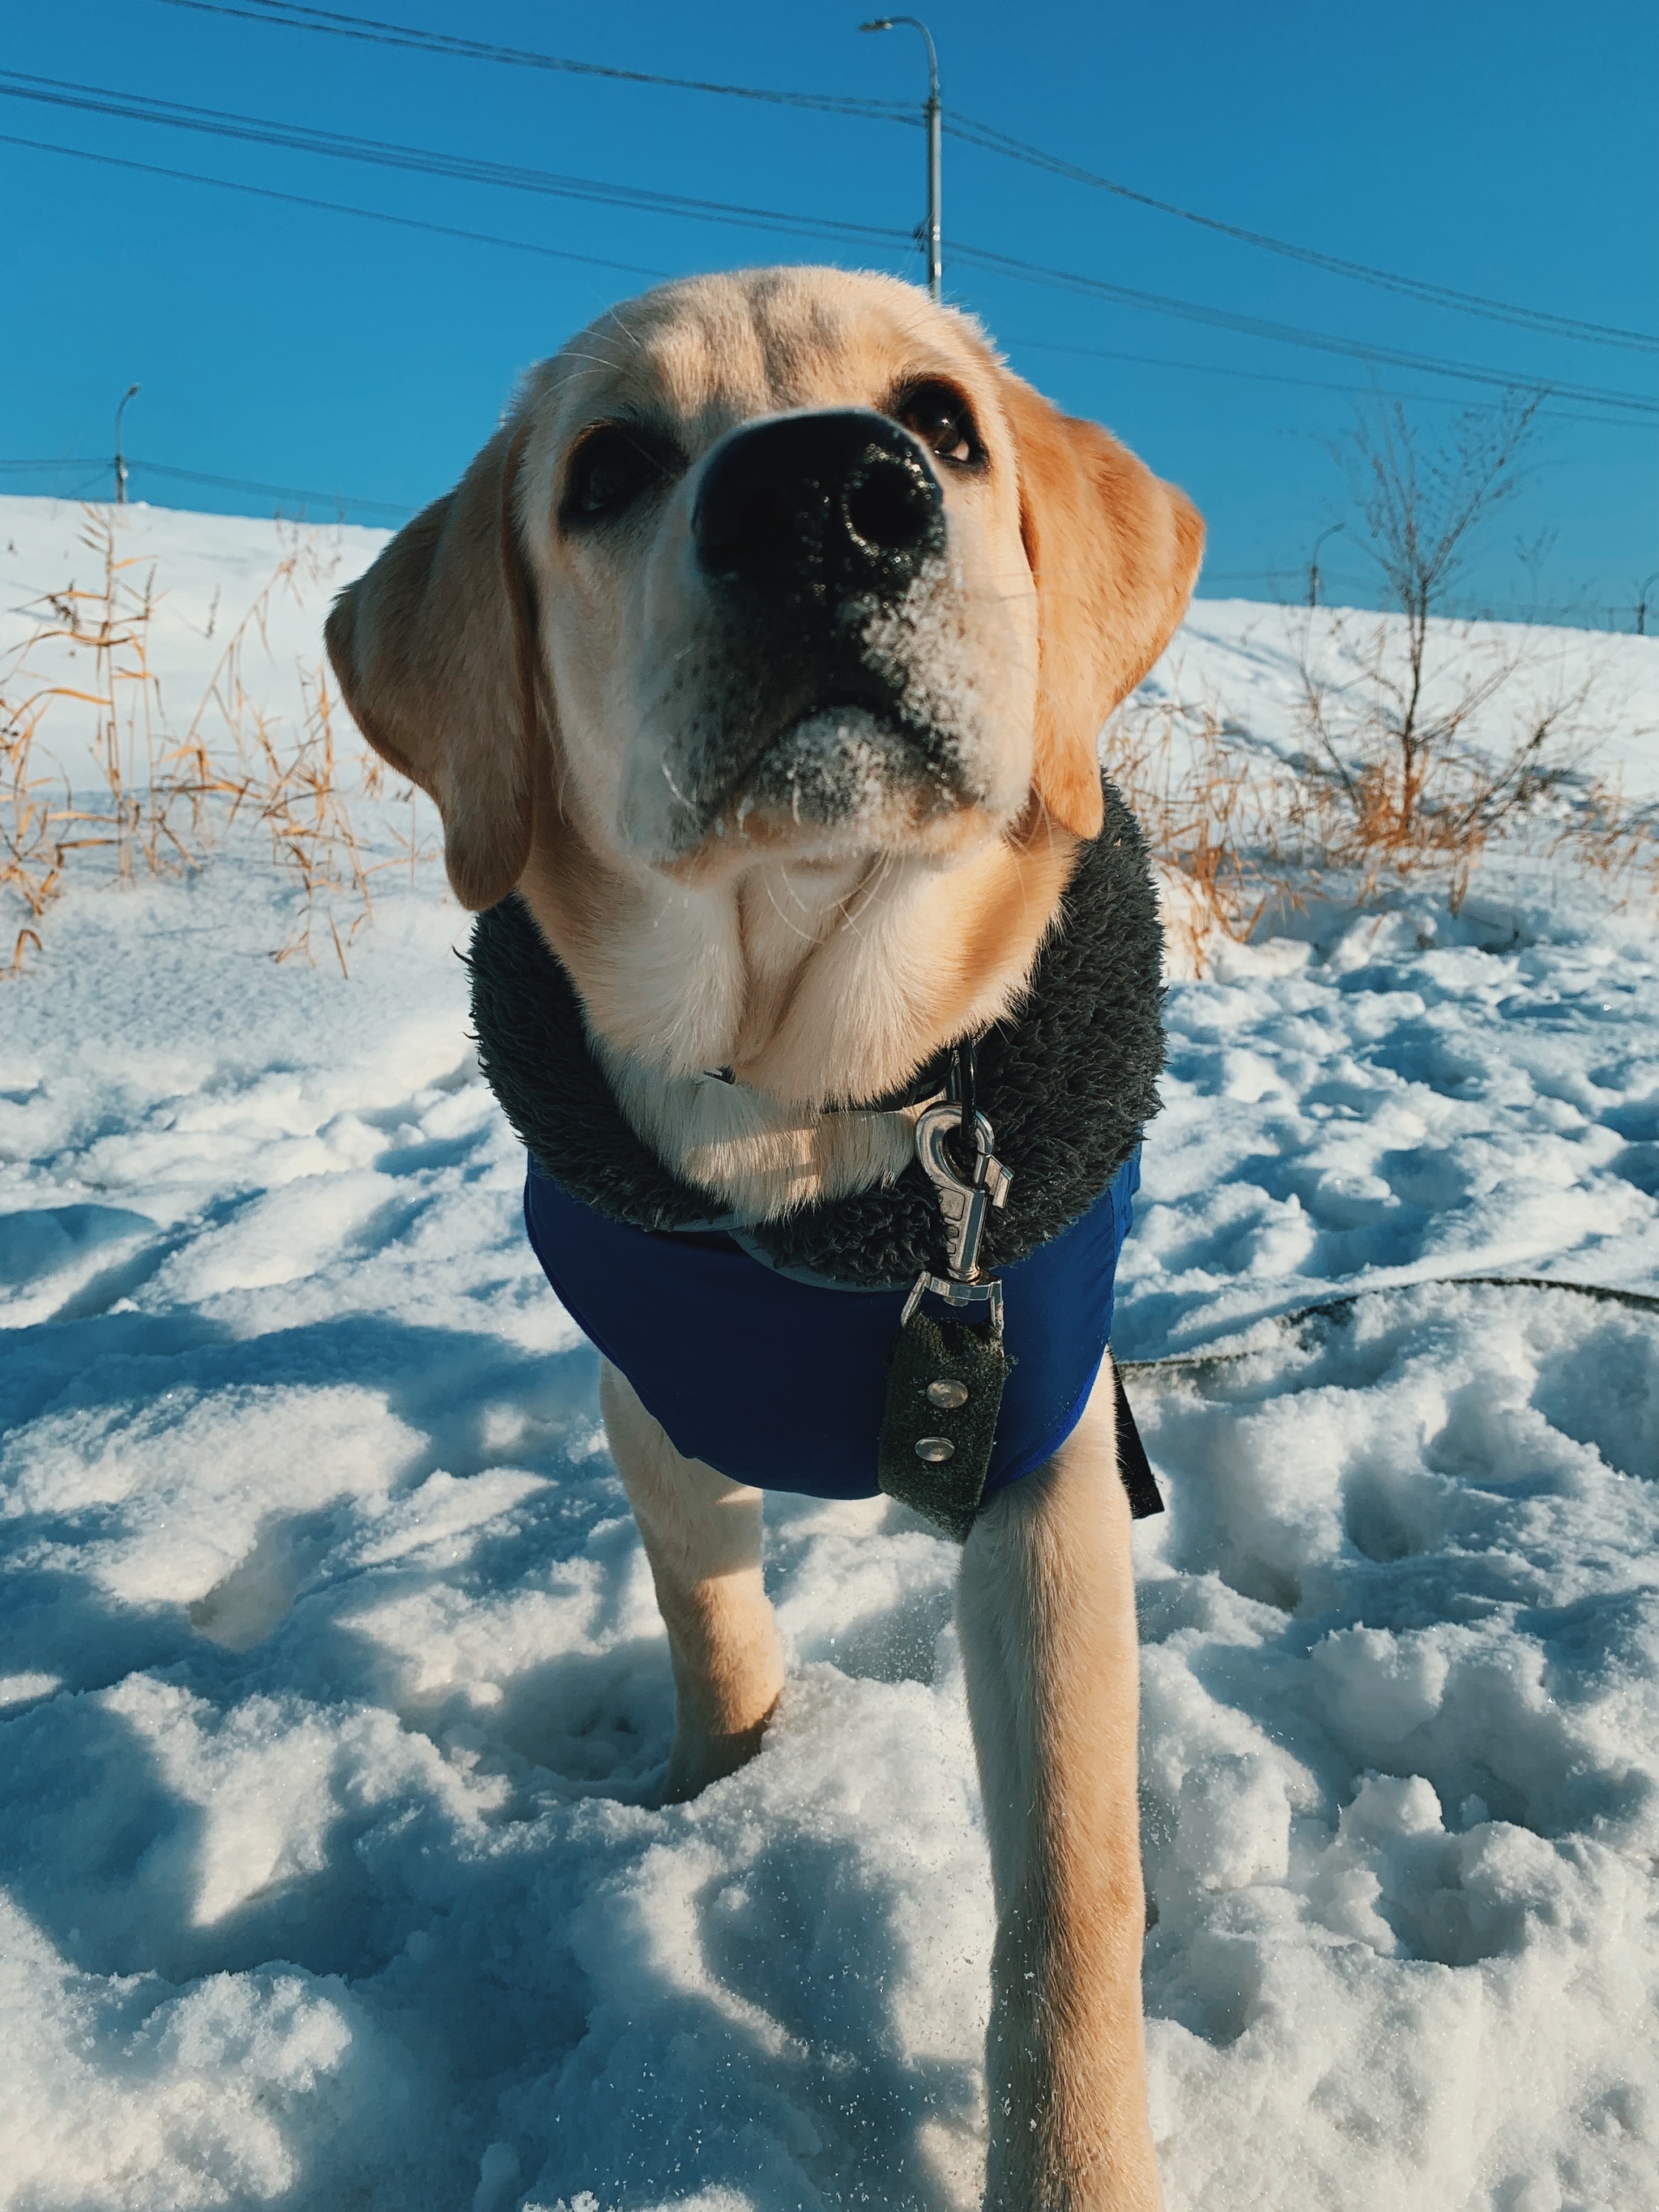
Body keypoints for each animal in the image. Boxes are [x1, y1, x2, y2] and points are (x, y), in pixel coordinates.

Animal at [327, 271, 1212, 2212]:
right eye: (602, 472)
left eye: (944, 420)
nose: (825, 498)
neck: (813, 1114)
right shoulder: (652, 1396)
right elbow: (712, 1630)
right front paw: (724, 1798)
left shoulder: (1044, 1461)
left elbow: (1067, 1903)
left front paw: (1074, 2163)